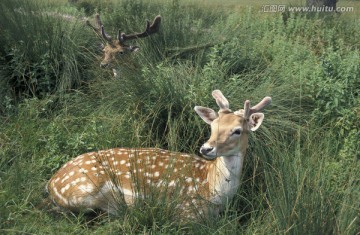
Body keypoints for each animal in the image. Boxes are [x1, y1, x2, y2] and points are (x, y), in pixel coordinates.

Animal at [47, 90, 272, 218]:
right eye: (213, 126)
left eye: (237, 130)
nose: (206, 148)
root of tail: (51, 183)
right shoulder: (187, 211)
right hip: (84, 191)